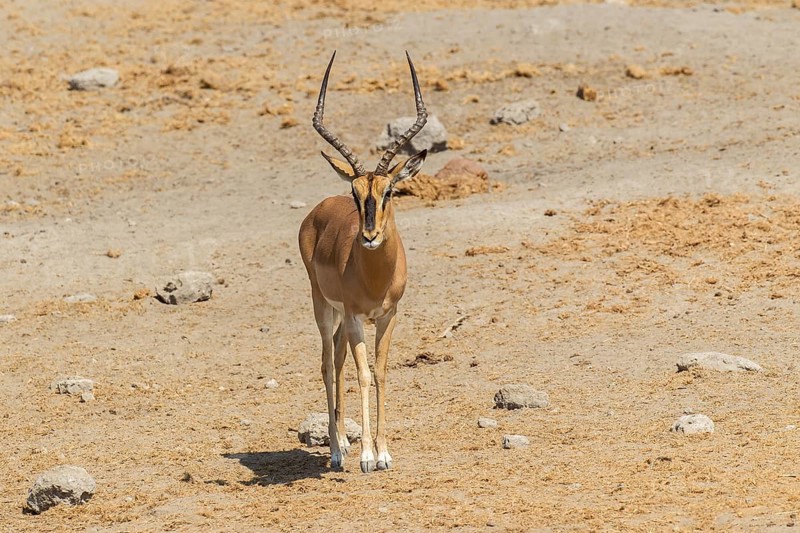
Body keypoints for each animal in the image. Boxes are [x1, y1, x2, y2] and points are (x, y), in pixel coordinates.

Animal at [299, 51, 427, 473]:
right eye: (355, 193)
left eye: (389, 191)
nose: (369, 236)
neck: (374, 278)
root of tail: (320, 209)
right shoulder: (357, 316)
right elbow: (364, 374)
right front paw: (368, 456)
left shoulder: (388, 315)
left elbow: (382, 372)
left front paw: (384, 452)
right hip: (324, 307)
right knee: (328, 363)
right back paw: (338, 451)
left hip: (341, 316)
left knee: (337, 360)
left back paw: (342, 443)